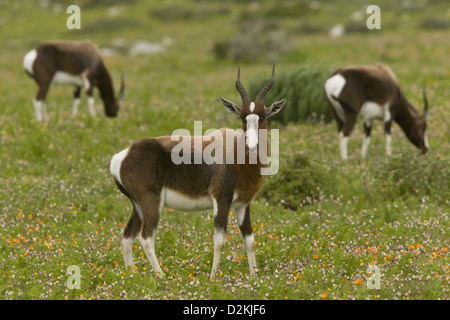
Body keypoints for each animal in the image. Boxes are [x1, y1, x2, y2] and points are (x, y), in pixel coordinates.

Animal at [110, 65, 284, 278]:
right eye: (242, 117)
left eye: (264, 116)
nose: (251, 146)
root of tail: (123, 156)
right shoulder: (221, 200)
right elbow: (220, 240)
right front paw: (213, 278)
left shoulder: (243, 204)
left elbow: (249, 240)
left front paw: (255, 277)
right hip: (151, 203)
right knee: (146, 238)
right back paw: (161, 278)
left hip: (138, 206)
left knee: (127, 236)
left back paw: (132, 277)